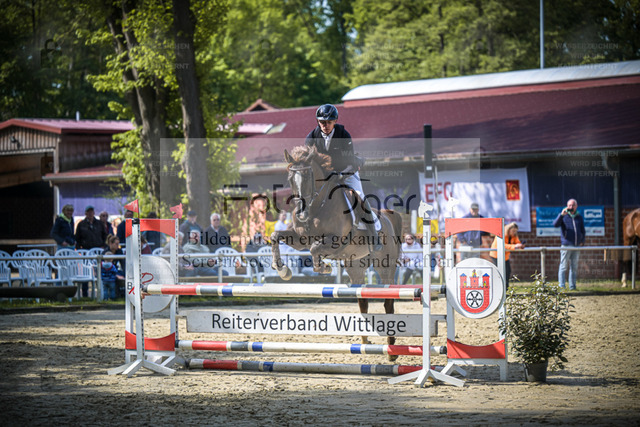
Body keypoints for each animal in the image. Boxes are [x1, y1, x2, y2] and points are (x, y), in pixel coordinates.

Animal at [270, 145, 403, 360]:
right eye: (290, 177)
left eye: (307, 176)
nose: (301, 214)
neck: (317, 206)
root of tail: (388, 217)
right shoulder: (299, 239)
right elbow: (275, 235)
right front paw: (283, 270)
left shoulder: (335, 240)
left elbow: (315, 248)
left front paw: (322, 267)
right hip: (356, 267)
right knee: (362, 299)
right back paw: (364, 342)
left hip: (385, 267)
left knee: (388, 302)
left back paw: (391, 351)